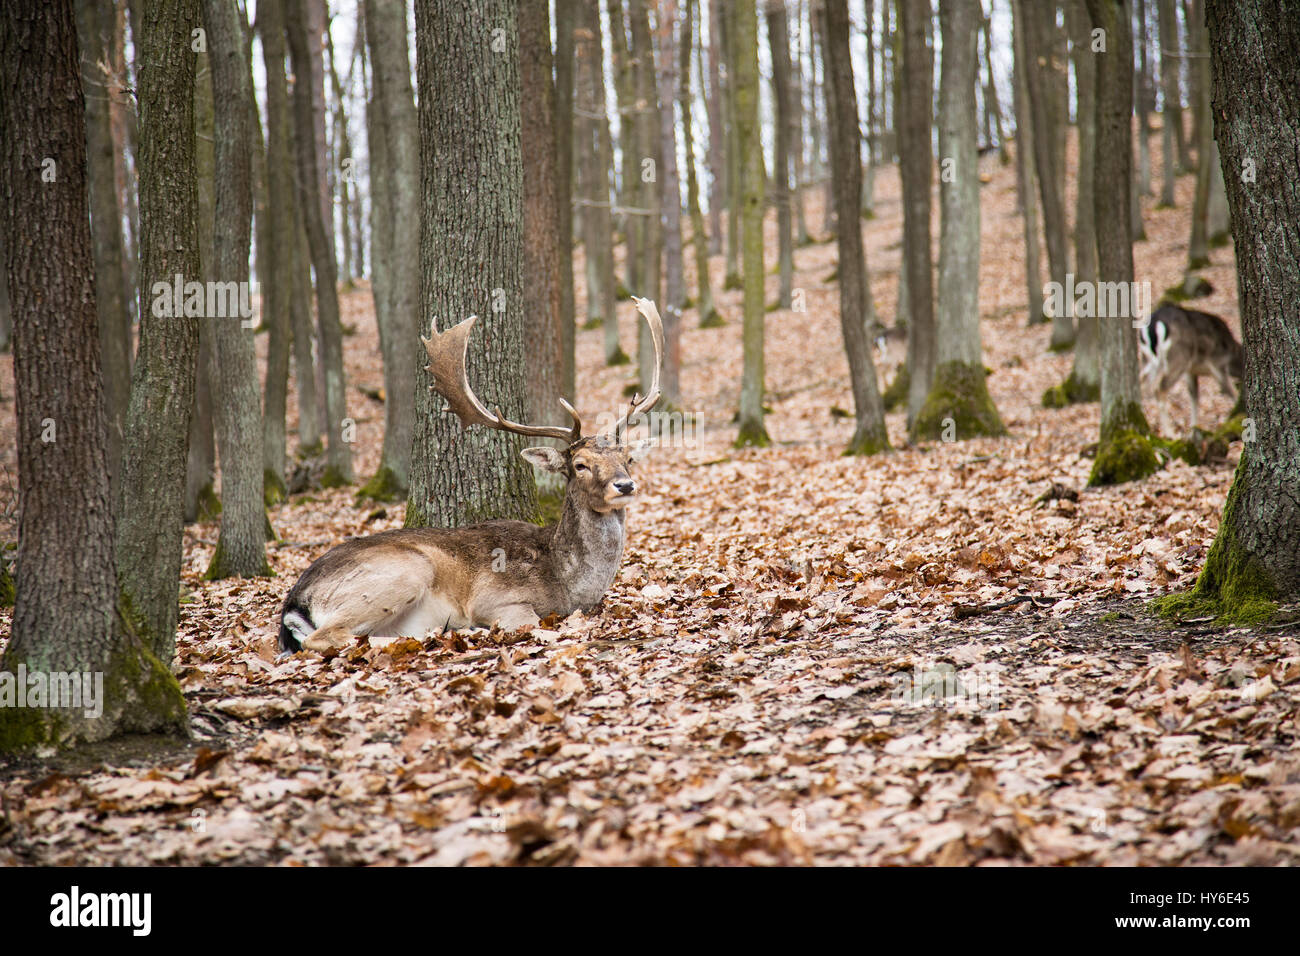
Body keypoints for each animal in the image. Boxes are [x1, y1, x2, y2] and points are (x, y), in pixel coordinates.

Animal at [282, 299, 670, 658]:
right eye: (580, 465)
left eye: (627, 458)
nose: (625, 485)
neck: (567, 584)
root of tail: (295, 602)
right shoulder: (494, 597)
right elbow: (531, 622)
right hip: (404, 570)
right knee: (328, 638)